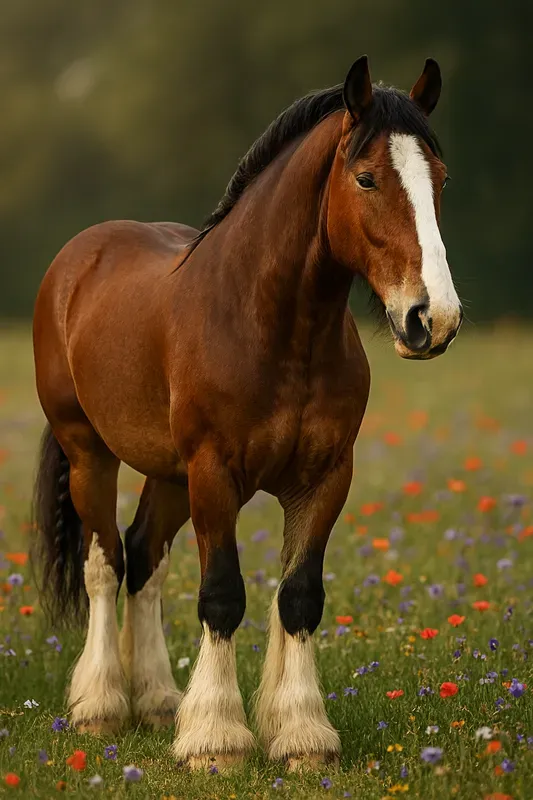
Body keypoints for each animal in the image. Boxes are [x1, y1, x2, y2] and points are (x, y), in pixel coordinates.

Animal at [32, 55, 462, 770]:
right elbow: (222, 597)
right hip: (90, 453)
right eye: (367, 177)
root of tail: (76, 260)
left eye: (441, 178)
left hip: (168, 475)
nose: (433, 318)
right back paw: (99, 707)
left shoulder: (324, 478)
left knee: (144, 559)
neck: (274, 326)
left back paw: (158, 703)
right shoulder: (215, 475)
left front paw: (301, 736)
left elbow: (299, 598)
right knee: (105, 564)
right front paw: (216, 739)